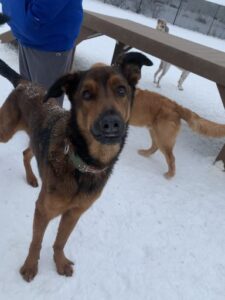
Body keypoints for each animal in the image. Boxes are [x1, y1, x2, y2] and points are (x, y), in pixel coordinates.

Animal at [0, 52, 153, 282]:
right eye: (86, 94)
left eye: (121, 90)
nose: (111, 123)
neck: (84, 165)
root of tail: (25, 83)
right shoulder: (43, 210)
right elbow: (36, 242)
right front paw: (30, 266)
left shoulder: (75, 213)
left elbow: (60, 241)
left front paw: (60, 262)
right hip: (5, 131)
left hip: (33, 141)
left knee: (26, 153)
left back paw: (32, 178)